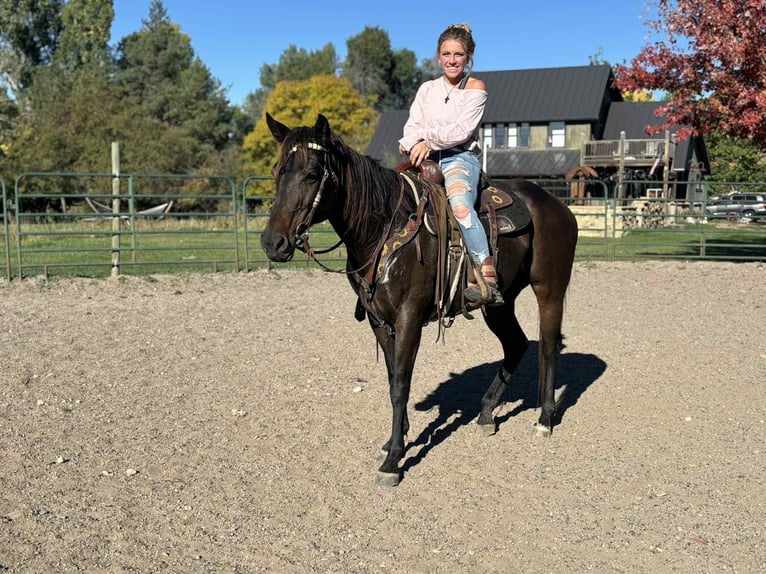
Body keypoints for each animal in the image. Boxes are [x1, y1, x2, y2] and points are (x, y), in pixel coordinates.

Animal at [261, 113, 578, 486]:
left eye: (312, 174)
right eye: (277, 171)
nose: (273, 243)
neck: (385, 228)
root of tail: (558, 206)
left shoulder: (409, 317)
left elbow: (401, 383)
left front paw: (393, 460)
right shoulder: (379, 320)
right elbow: (392, 379)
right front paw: (394, 440)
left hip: (549, 289)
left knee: (548, 345)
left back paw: (544, 420)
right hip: (499, 303)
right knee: (516, 344)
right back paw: (487, 413)